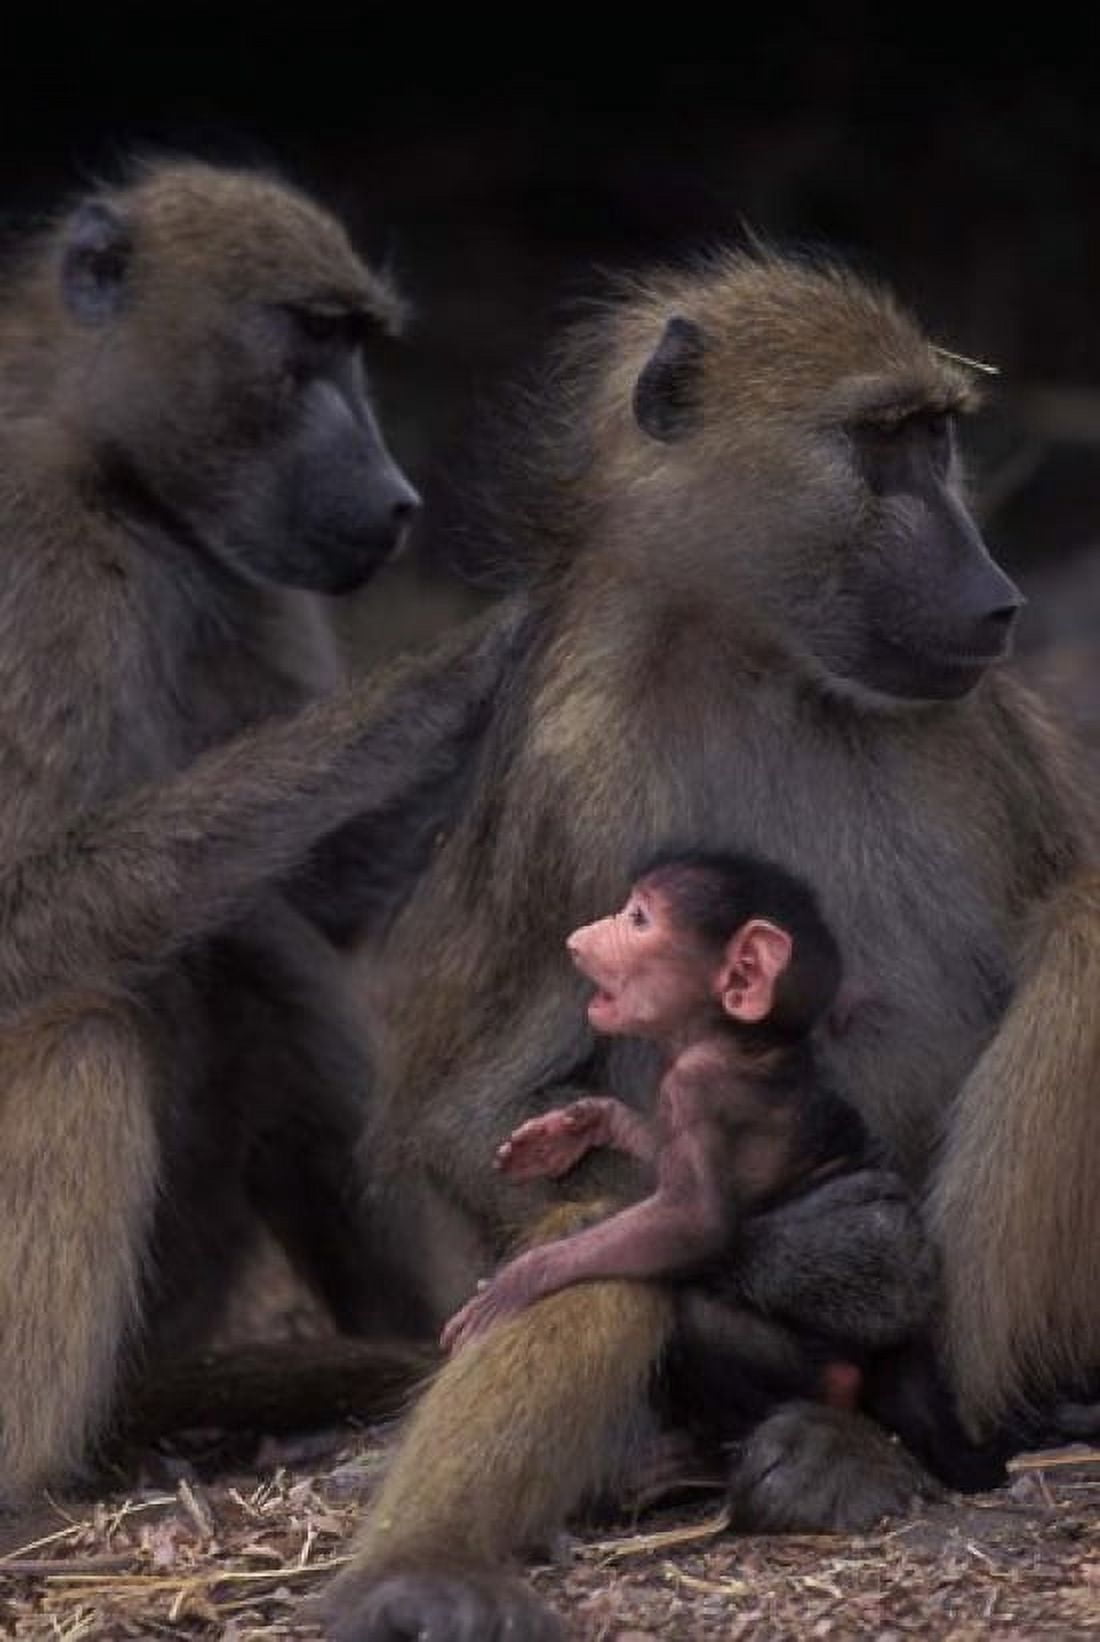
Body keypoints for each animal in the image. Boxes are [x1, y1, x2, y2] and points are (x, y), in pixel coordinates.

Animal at [0, 158, 526, 1509]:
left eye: (357, 344)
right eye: (308, 338)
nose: (397, 501)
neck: (106, 473)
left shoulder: (238, 570)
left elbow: (321, 900)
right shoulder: (37, 552)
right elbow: (26, 906)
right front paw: (464, 666)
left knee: (260, 948)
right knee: (85, 1019)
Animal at [315, 250, 1098, 1642]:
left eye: (936, 438)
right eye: (880, 444)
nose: (996, 597)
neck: (757, 664)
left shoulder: (979, 731)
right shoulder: (570, 764)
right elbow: (472, 1116)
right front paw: (819, 1256)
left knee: (1084, 925)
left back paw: (921, 1443)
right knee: (585, 1236)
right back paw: (425, 1566)